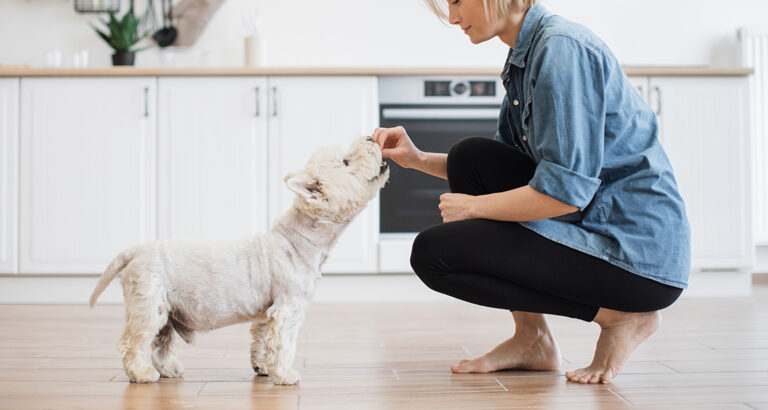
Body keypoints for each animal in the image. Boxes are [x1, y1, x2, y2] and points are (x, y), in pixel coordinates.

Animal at [90, 137, 390, 384]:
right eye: (346, 162)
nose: (371, 137)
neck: (298, 239)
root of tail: (136, 250)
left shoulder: (266, 312)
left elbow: (261, 340)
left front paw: (263, 368)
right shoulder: (288, 307)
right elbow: (284, 343)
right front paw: (285, 375)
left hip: (167, 308)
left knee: (161, 340)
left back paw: (169, 369)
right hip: (148, 301)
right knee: (135, 341)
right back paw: (141, 374)